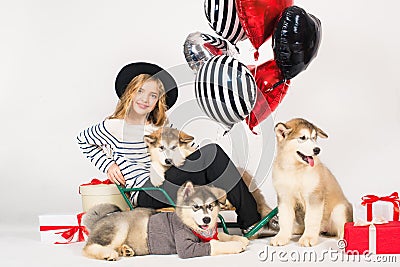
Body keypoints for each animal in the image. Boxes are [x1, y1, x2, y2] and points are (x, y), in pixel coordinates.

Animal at [82, 181, 248, 260]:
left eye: (210, 206)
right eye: (196, 207)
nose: (206, 219)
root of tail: (100, 219)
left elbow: (221, 235)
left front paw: (240, 238)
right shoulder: (186, 247)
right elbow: (215, 244)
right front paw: (236, 245)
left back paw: (126, 250)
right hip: (119, 228)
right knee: (89, 247)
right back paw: (108, 254)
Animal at [270, 118, 352, 248]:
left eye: (314, 138)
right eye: (302, 138)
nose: (317, 150)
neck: (295, 170)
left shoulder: (314, 196)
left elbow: (311, 219)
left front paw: (308, 238)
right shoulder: (284, 197)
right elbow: (285, 219)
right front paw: (281, 237)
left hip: (339, 210)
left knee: (342, 227)